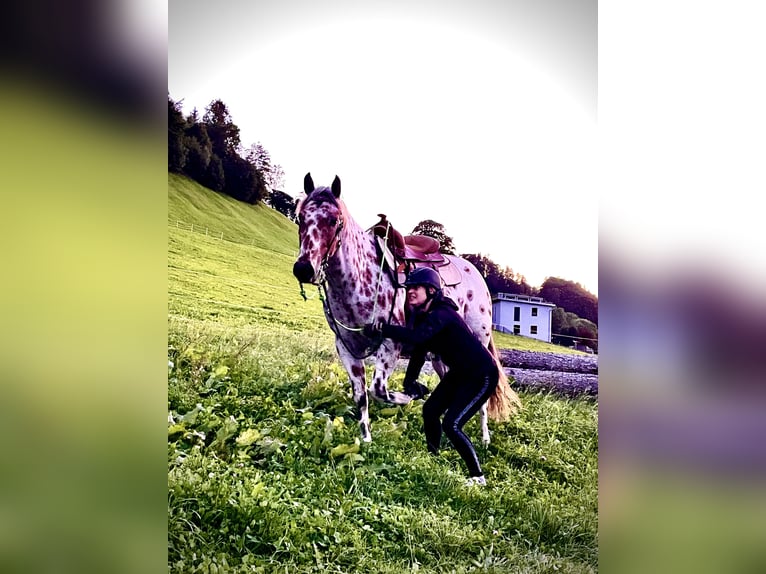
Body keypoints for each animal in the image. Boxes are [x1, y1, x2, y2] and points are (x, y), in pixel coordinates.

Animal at [294, 174, 520, 446]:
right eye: (300, 217)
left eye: (333, 220)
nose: (303, 269)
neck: (359, 279)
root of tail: (476, 273)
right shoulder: (346, 347)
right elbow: (362, 396)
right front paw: (366, 439)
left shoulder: (390, 346)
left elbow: (378, 389)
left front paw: (410, 395)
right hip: (441, 355)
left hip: (478, 340)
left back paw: (485, 438)